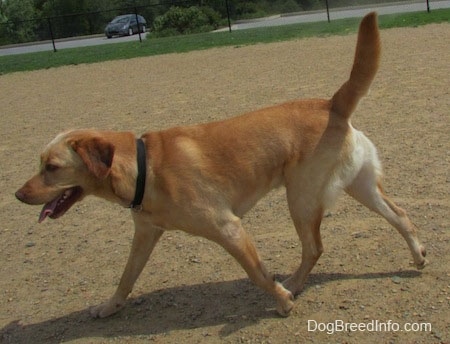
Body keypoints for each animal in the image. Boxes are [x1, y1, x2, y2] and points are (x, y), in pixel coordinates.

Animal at [15, 13, 428, 320]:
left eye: (52, 166)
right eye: (41, 163)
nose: (18, 195)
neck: (146, 166)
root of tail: (332, 104)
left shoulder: (228, 228)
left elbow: (258, 274)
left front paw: (281, 299)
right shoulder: (145, 234)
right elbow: (126, 277)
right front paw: (109, 307)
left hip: (302, 198)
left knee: (315, 247)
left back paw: (293, 285)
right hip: (359, 186)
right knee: (401, 215)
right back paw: (417, 255)